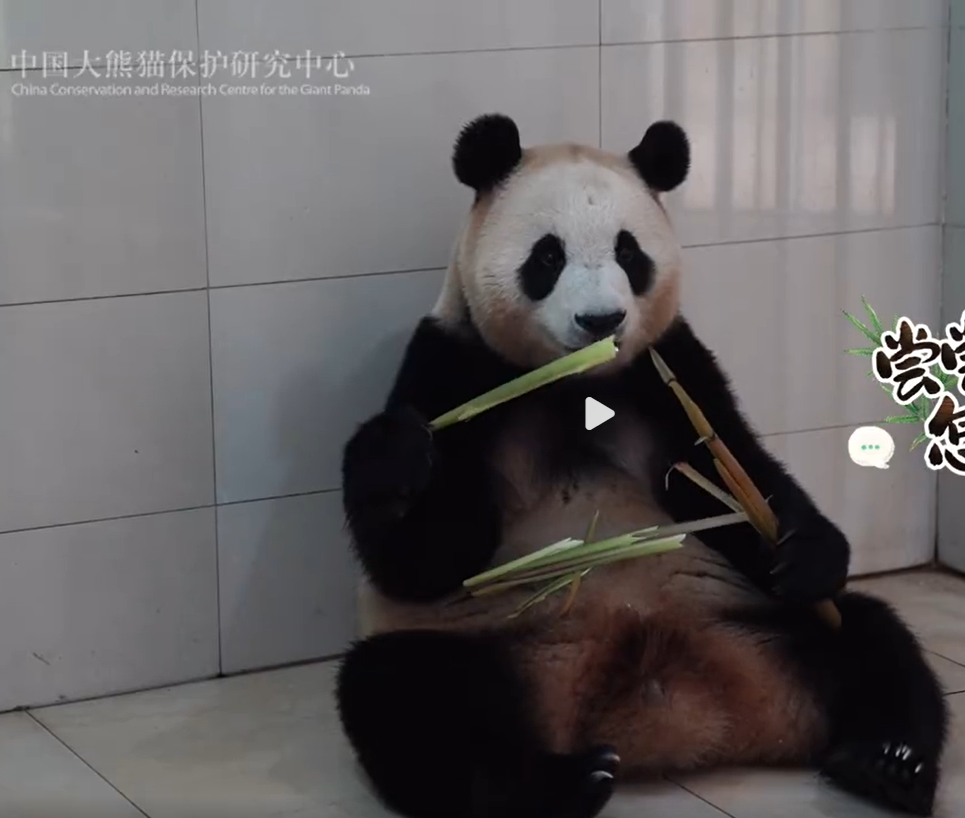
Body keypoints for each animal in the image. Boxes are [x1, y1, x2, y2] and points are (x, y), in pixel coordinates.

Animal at [335, 113, 948, 818]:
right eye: (548, 256)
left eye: (629, 253)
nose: (601, 319)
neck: (573, 381)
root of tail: (678, 715)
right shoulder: (454, 368)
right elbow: (426, 557)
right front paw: (393, 451)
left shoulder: (669, 369)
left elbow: (734, 473)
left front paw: (800, 550)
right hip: (498, 651)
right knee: (406, 700)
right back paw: (561, 784)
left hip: (767, 627)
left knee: (873, 640)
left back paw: (888, 762)